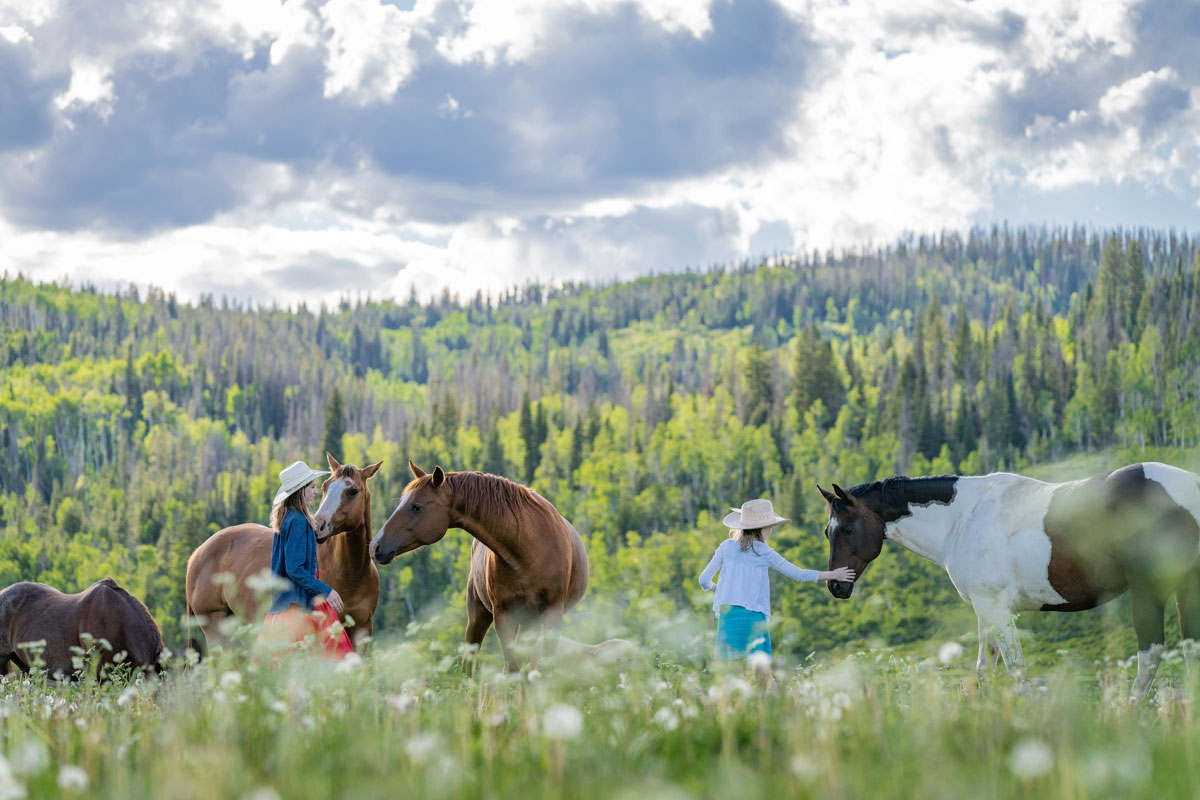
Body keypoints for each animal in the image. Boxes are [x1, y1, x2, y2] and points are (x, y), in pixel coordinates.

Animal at [185, 455, 382, 654]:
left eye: (353, 491)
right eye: (325, 486)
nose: (318, 526)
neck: (351, 575)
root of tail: (197, 554)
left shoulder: (362, 631)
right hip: (217, 630)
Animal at [370, 461, 589, 673]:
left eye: (416, 506)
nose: (375, 546)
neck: (529, 550)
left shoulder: (553, 614)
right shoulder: (503, 616)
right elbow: (513, 667)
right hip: (479, 615)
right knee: (471, 664)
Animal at [818, 462, 1200, 700]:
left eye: (847, 529)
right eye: (827, 531)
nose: (836, 585)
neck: (962, 518)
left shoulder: (997, 610)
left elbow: (1016, 671)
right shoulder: (986, 611)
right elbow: (985, 670)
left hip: (1150, 591)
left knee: (1150, 654)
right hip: (1186, 588)